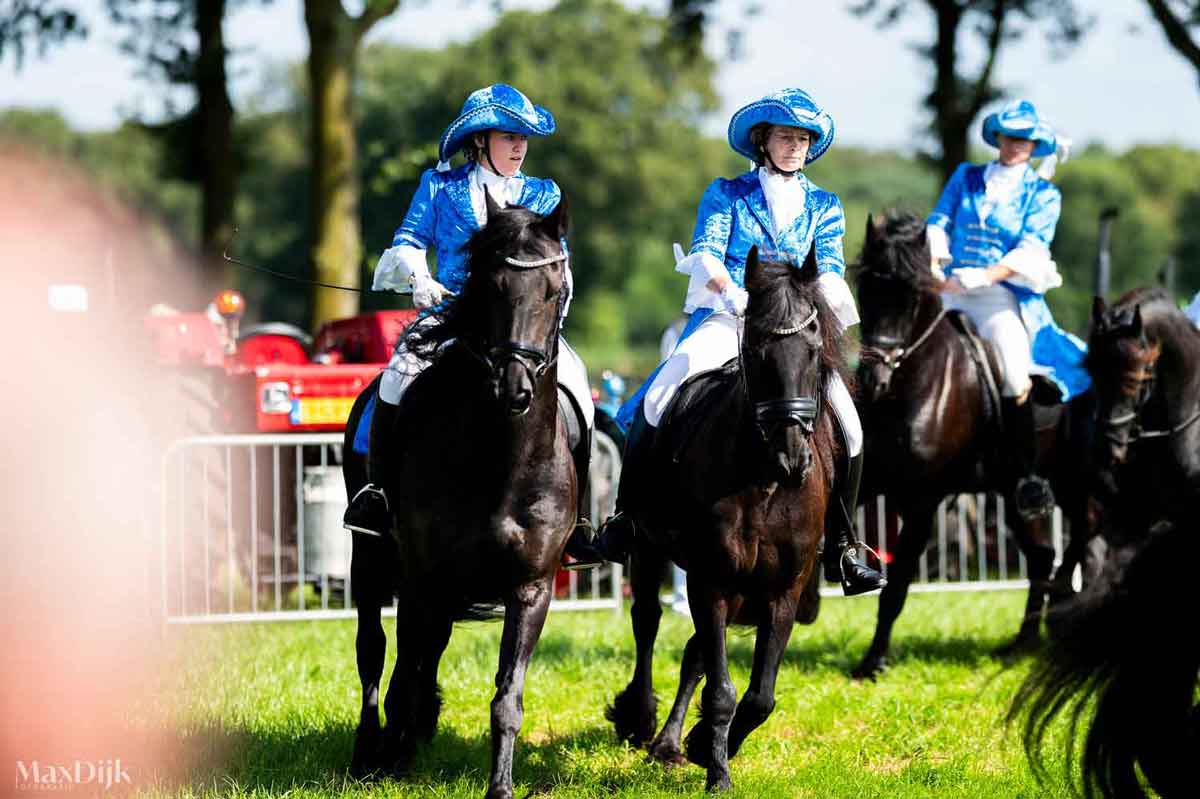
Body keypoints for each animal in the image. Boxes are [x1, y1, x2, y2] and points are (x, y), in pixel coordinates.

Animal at [340, 194, 578, 796]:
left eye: (554, 289)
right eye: (488, 285)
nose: (514, 387)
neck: (500, 461)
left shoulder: (531, 587)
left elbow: (507, 697)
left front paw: (501, 785)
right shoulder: (420, 576)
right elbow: (400, 669)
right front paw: (391, 760)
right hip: (371, 559)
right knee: (374, 652)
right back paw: (370, 750)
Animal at [609, 244, 835, 791]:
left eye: (815, 350)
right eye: (754, 350)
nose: (793, 459)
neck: (762, 479)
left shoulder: (782, 589)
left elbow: (759, 695)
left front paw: (706, 746)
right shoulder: (712, 579)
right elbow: (721, 688)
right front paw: (716, 772)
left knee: (694, 653)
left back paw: (670, 743)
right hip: (649, 549)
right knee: (647, 621)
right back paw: (640, 718)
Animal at [854, 211, 1099, 676]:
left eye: (912, 295)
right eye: (864, 286)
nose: (873, 381)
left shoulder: (923, 499)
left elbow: (897, 586)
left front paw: (872, 662)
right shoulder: (870, 483)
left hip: (1075, 483)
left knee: (1080, 537)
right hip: (1013, 491)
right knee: (1042, 555)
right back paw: (1022, 644)